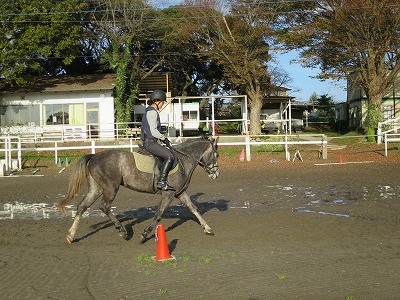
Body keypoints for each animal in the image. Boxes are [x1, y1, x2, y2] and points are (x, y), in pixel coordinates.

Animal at [56, 136, 219, 244]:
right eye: (216, 155)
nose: (216, 174)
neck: (183, 161)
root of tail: (94, 156)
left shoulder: (180, 193)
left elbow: (193, 209)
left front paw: (208, 228)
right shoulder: (168, 194)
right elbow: (158, 214)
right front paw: (144, 235)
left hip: (96, 188)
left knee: (82, 207)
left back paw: (71, 236)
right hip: (110, 187)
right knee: (104, 206)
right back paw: (122, 231)